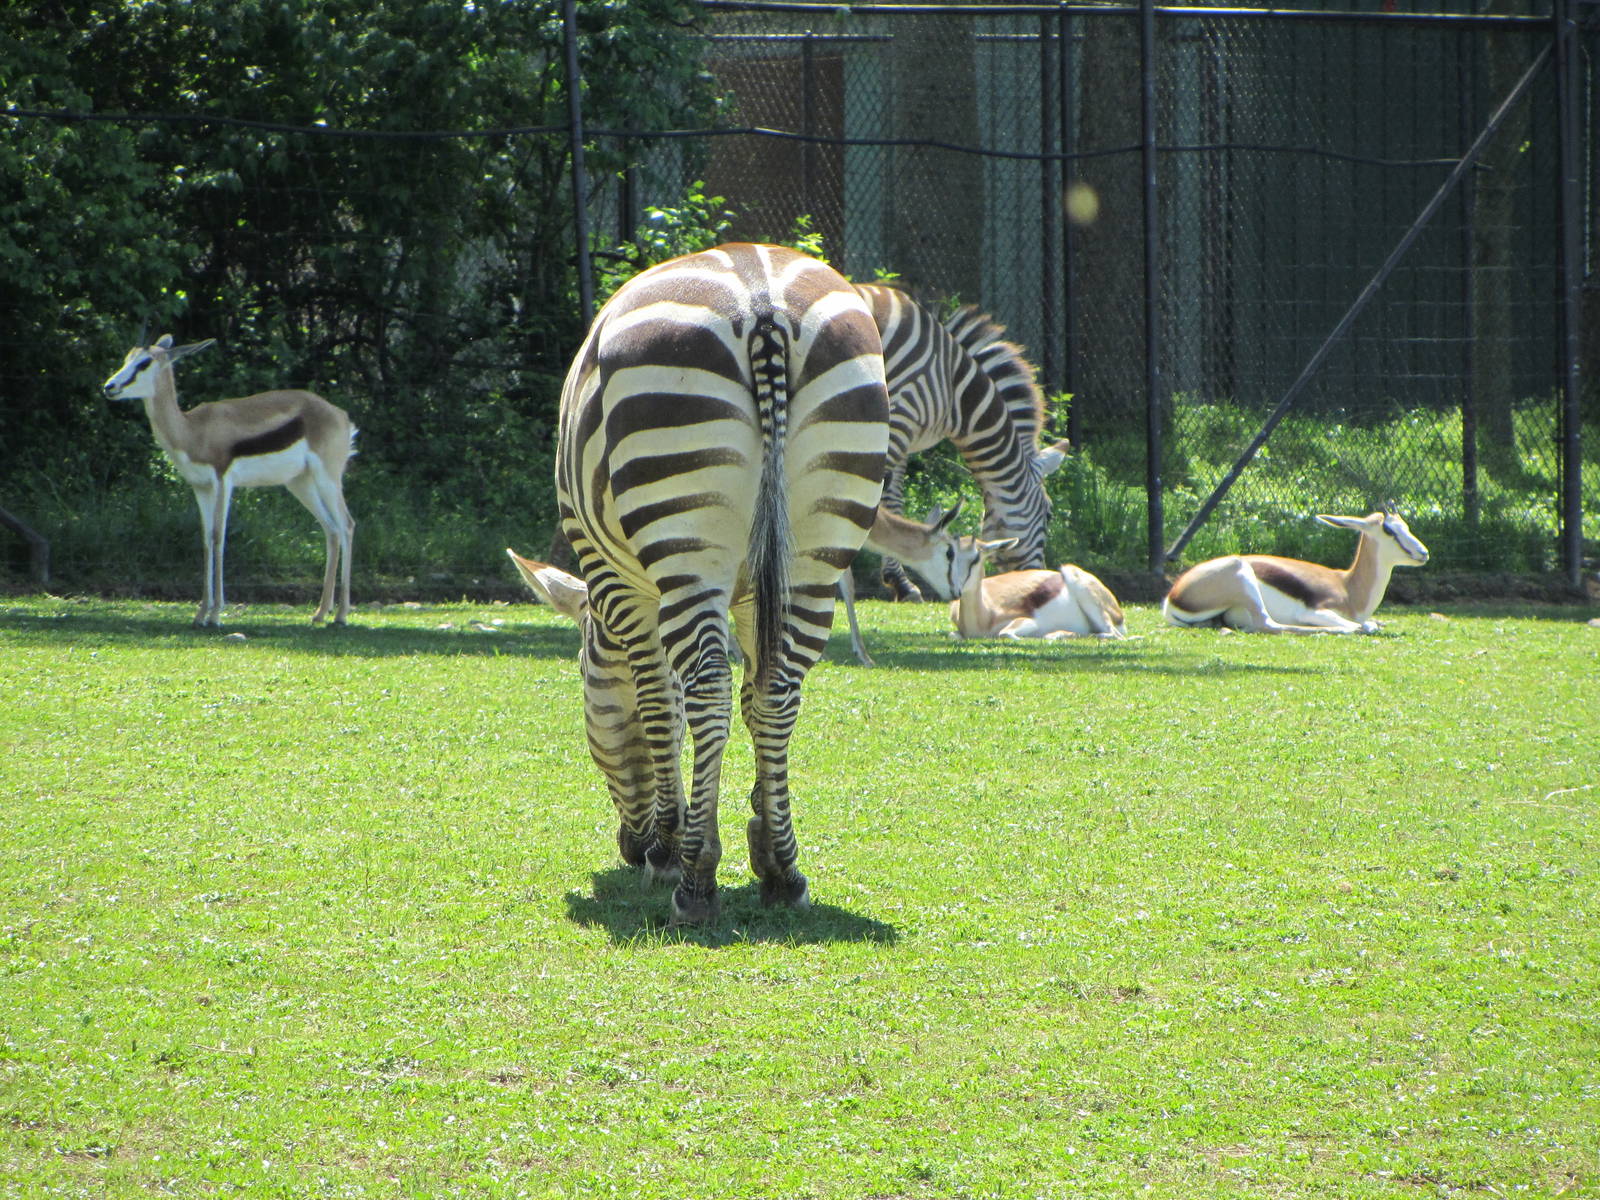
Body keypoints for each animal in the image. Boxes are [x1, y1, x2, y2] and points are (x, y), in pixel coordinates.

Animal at [553, 242, 891, 925]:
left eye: (585, 683)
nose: (628, 847)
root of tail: (762, 301)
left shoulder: (620, 585)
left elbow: (662, 701)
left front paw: (669, 844)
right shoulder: (757, 592)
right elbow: (754, 696)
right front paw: (761, 829)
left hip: (684, 535)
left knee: (707, 689)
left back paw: (694, 880)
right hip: (819, 547)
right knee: (780, 691)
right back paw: (784, 872)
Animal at [855, 284, 1069, 605]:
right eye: (1049, 514)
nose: (1039, 579)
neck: (957, 393)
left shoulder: (904, 435)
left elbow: (892, 498)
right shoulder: (900, 415)